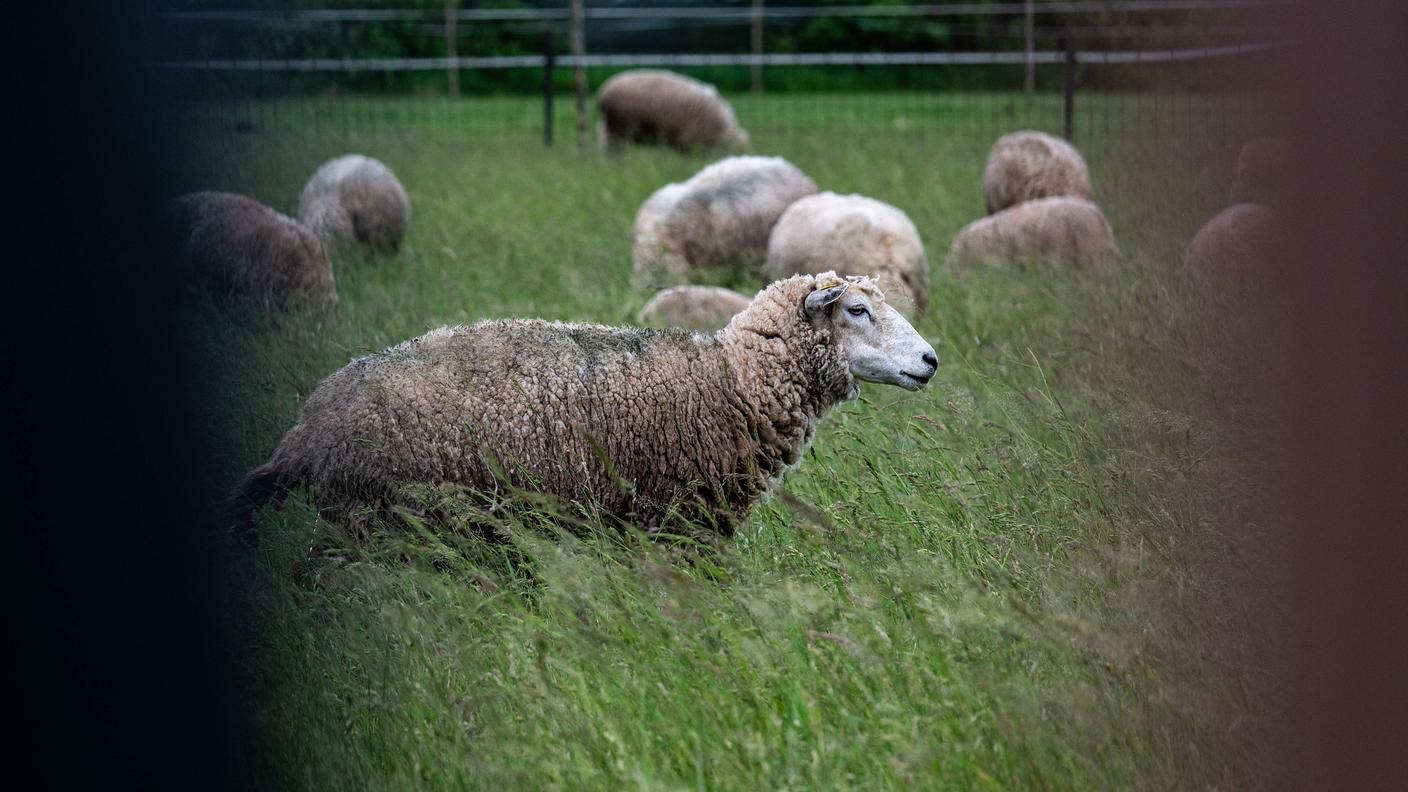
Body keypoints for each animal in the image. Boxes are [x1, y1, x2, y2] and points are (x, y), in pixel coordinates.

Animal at [231, 272, 938, 540]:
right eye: (857, 310)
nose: (931, 359)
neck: (728, 383)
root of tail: (305, 431)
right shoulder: (680, 527)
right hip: (377, 524)